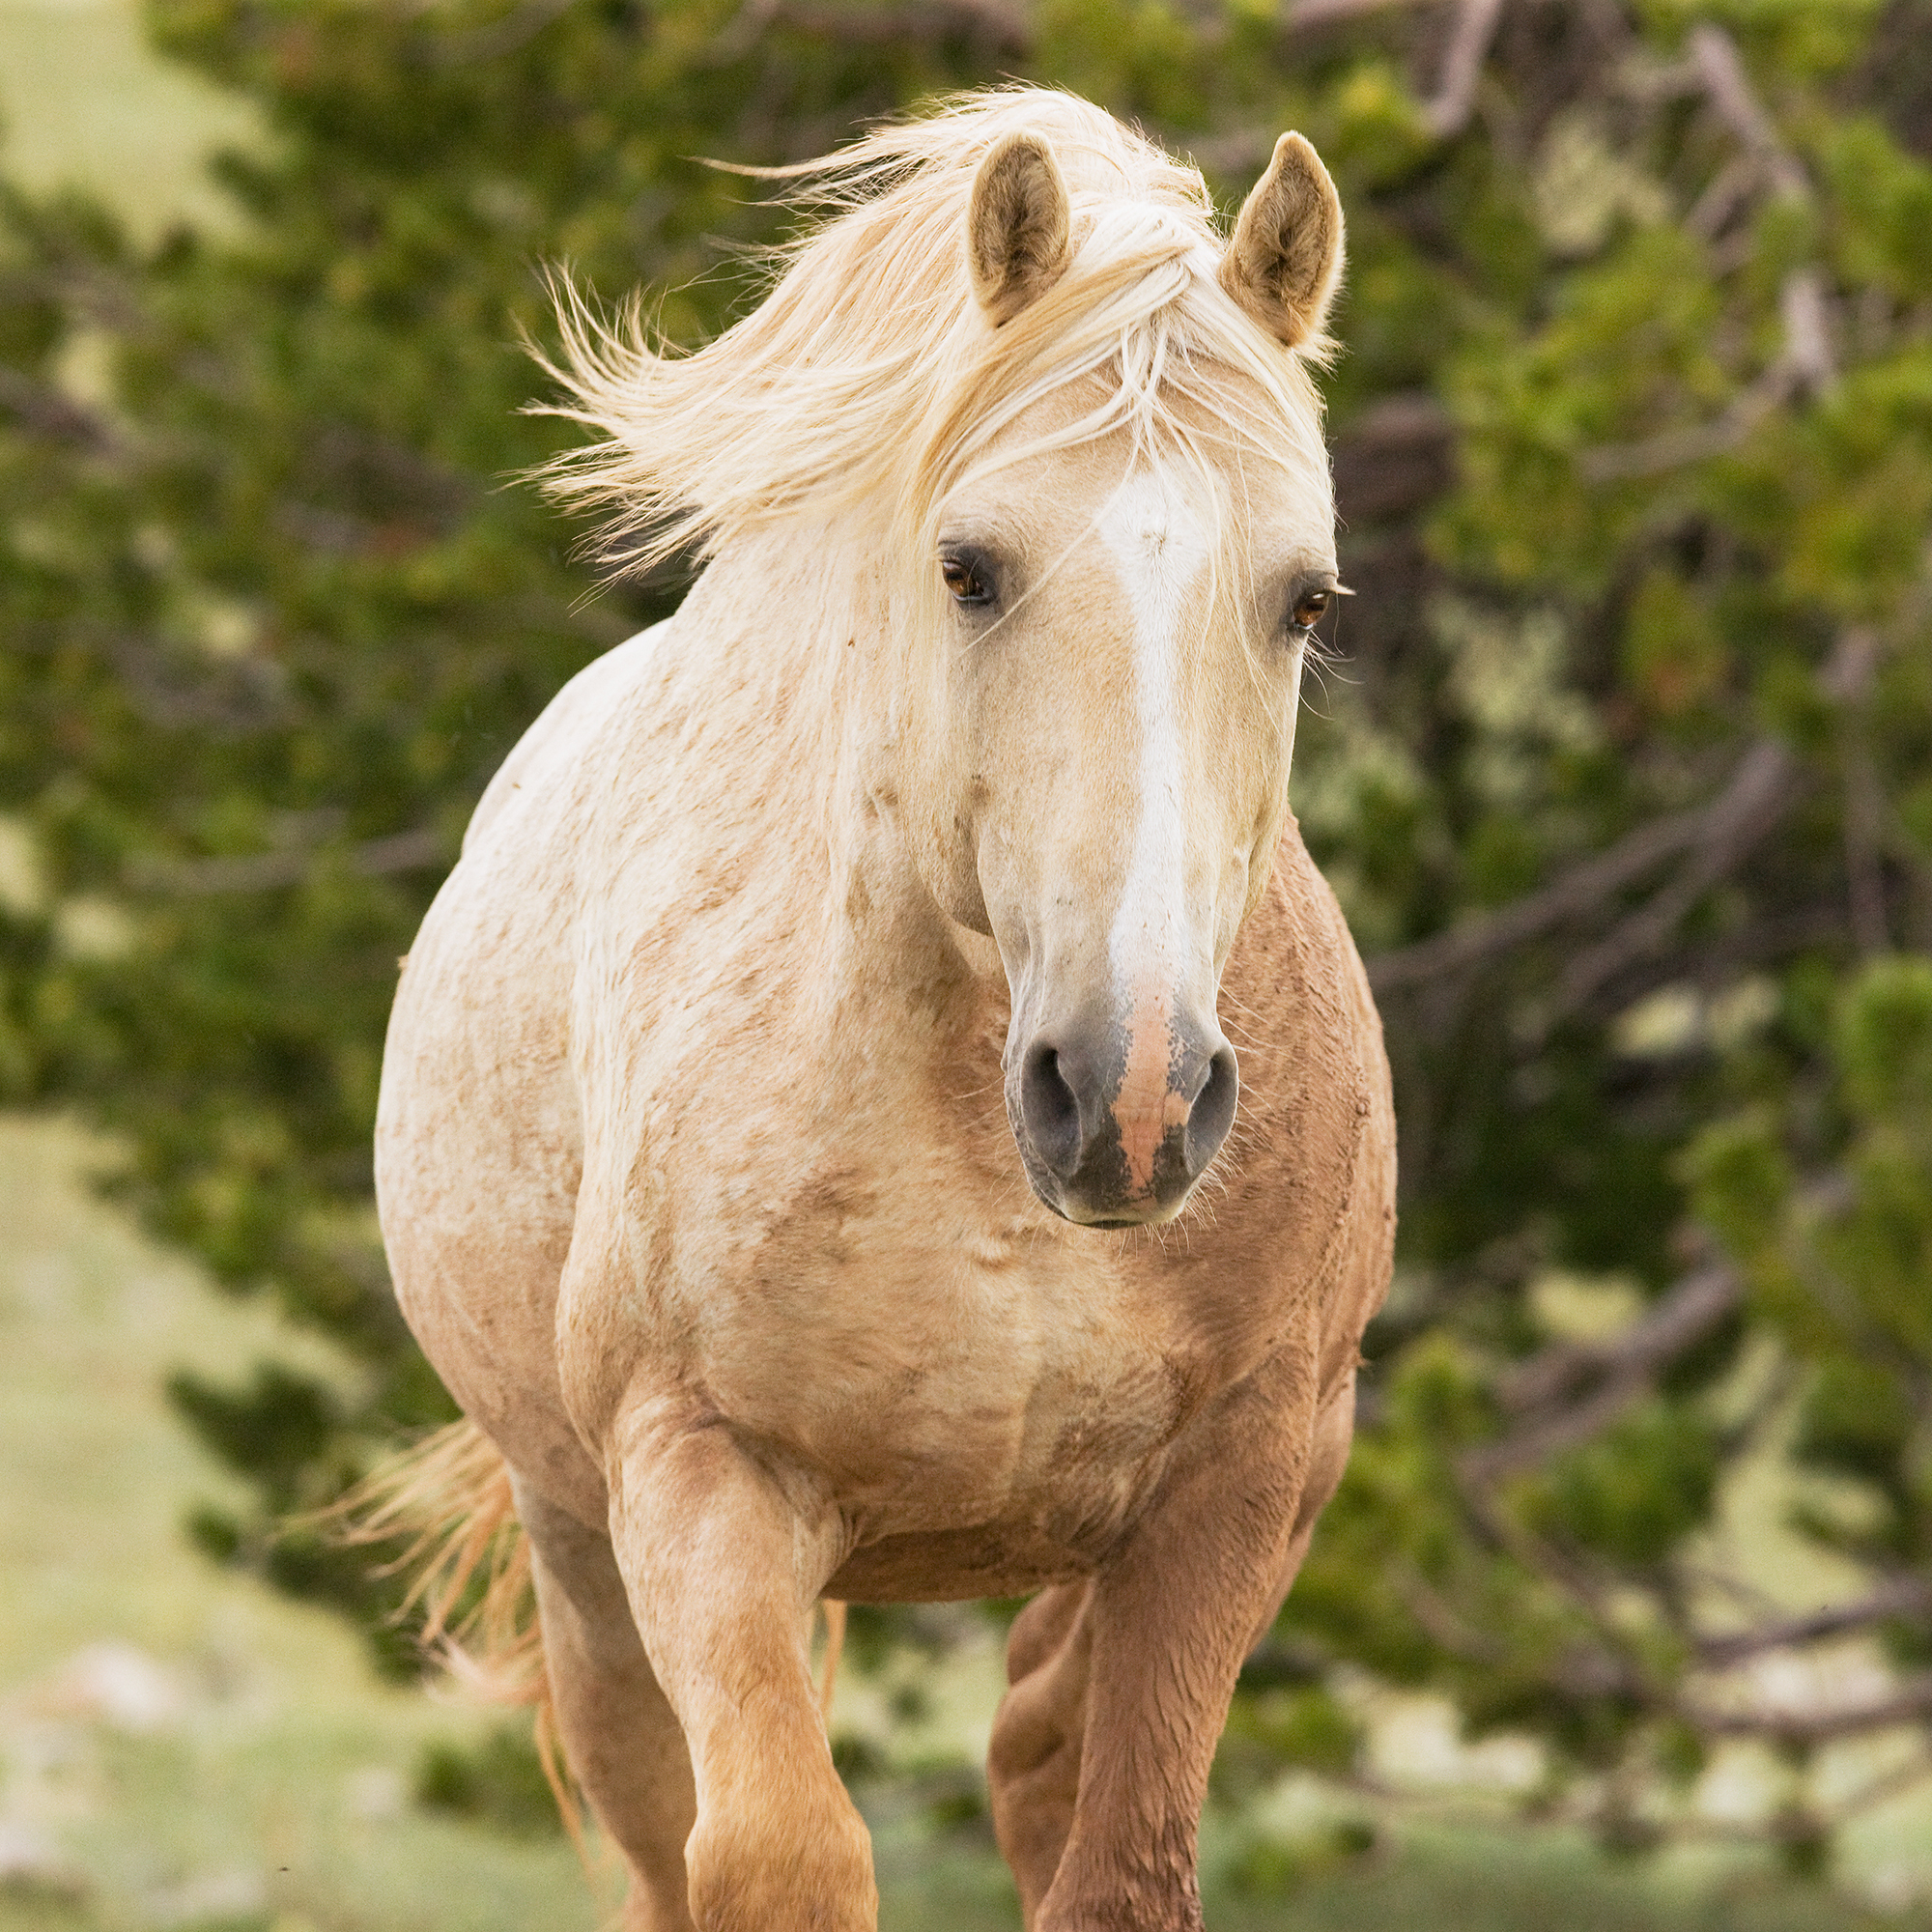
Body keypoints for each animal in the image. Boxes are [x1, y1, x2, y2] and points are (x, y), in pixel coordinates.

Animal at [369, 83, 1391, 1924]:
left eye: (1308, 599)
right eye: (970, 567)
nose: (1130, 1098)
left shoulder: (1237, 1483)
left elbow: (1122, 1857)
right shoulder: (701, 1476)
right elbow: (773, 1854)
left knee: (1038, 1754)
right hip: (583, 1565)